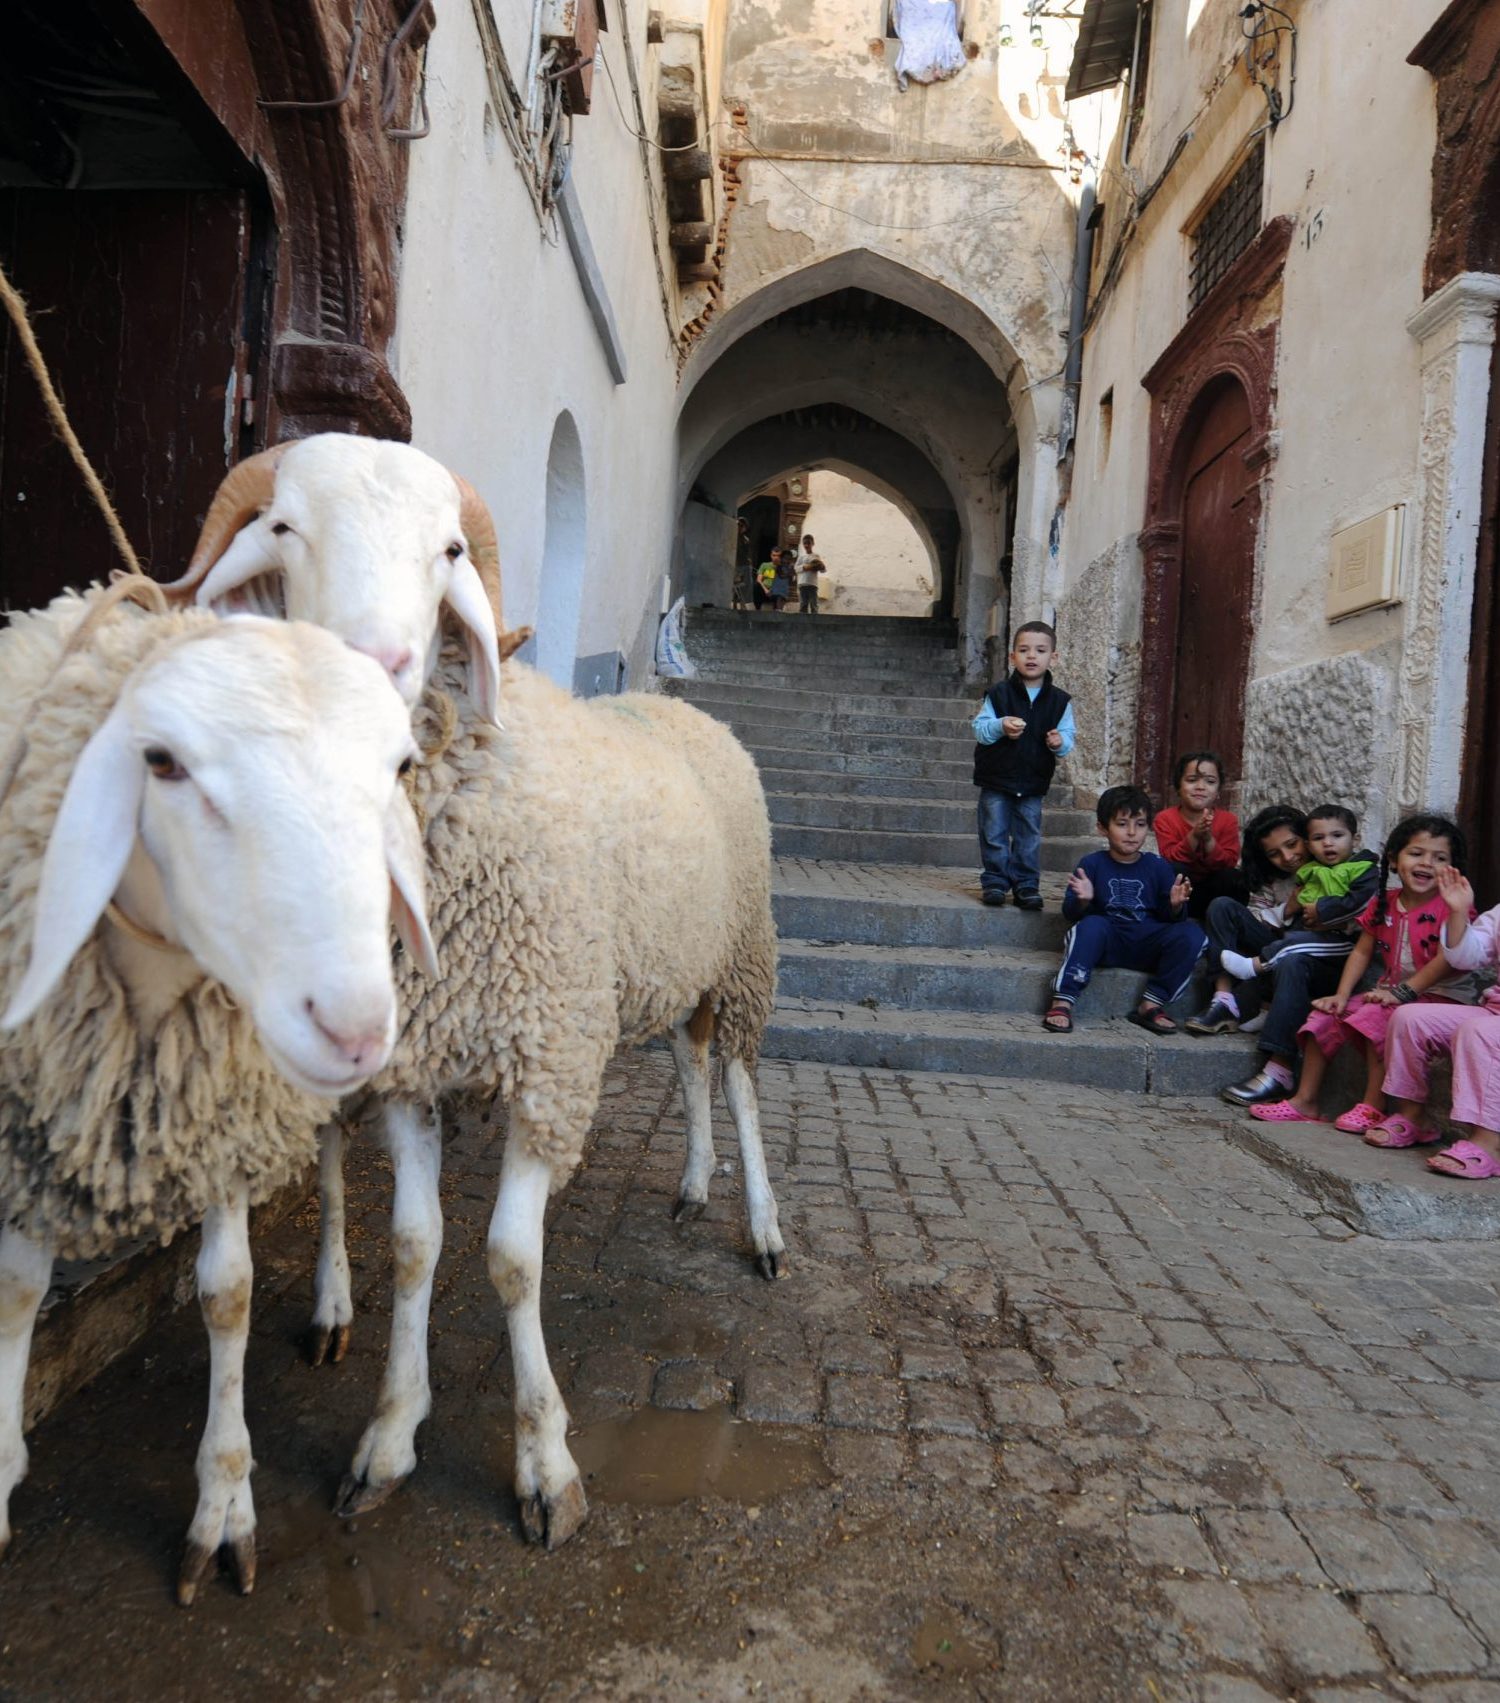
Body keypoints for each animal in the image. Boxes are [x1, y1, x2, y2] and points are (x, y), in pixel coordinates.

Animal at [2, 592, 439, 1600]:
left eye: (400, 765)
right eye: (161, 761)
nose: (357, 1027)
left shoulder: (226, 1121)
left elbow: (228, 1292)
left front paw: (226, 1503)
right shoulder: (34, 1120)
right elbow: (15, 1292)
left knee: (329, 1166)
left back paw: (332, 1302)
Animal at [183, 435, 790, 1546]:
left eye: (450, 549)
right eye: (284, 525)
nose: (373, 663)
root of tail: (680, 701)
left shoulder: (548, 1059)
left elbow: (512, 1258)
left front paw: (546, 1464)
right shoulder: (416, 1069)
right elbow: (415, 1246)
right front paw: (389, 1435)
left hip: (742, 954)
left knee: (737, 1079)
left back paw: (763, 1228)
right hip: (672, 965)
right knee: (689, 1063)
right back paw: (691, 1183)